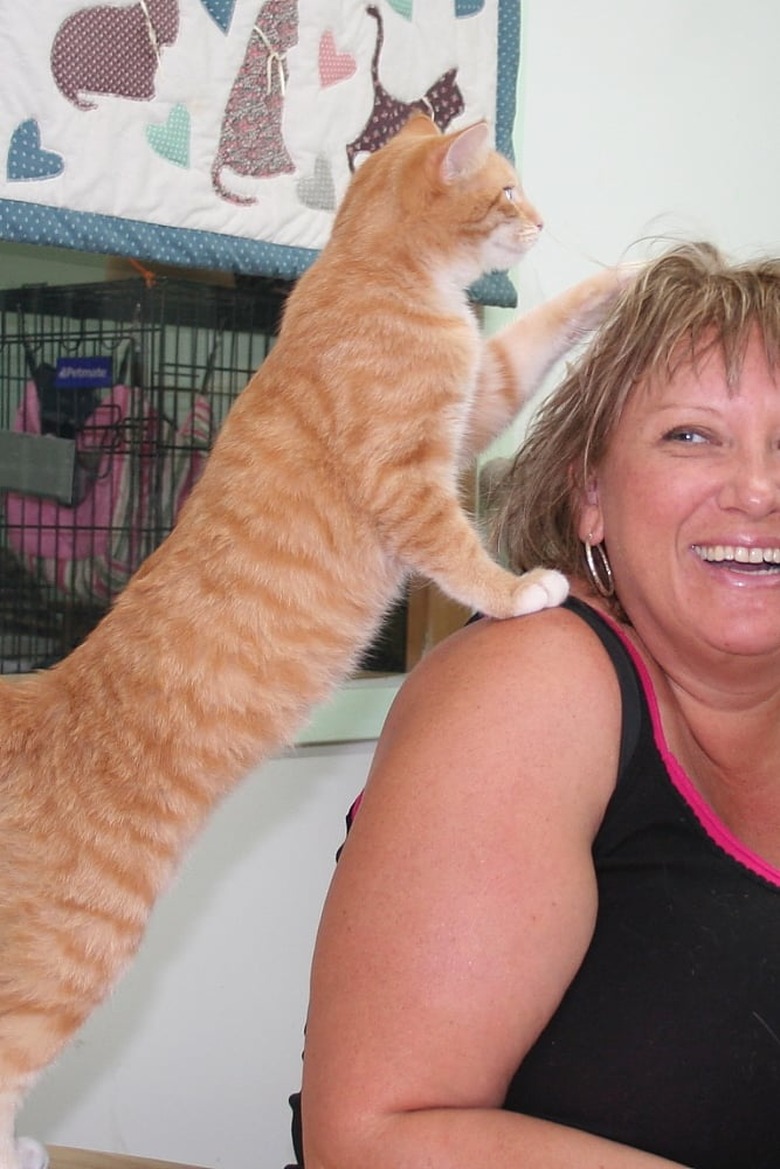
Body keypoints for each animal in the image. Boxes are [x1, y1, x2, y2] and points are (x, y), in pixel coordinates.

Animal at [0, 111, 626, 1169]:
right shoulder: (411, 482)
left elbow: (528, 342)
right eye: (506, 191)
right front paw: (521, 591)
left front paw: (614, 282)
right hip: (67, 966)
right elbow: (460, 556)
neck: (370, 271)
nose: (541, 220)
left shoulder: (481, 401)